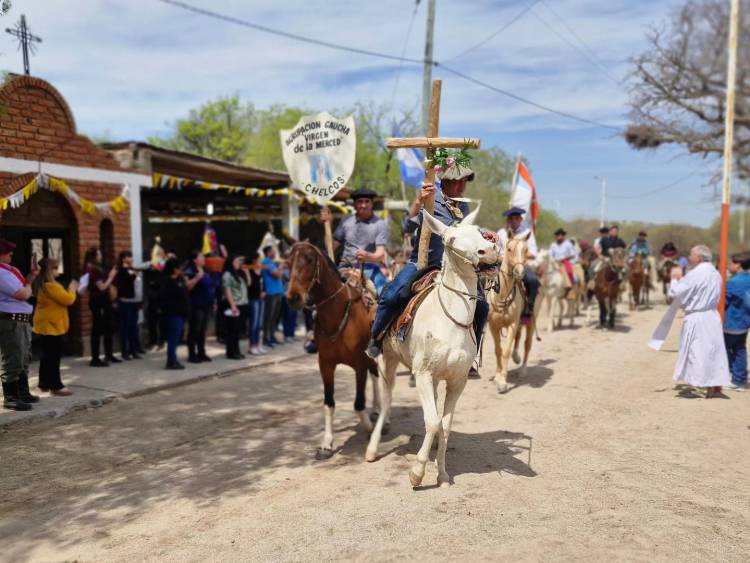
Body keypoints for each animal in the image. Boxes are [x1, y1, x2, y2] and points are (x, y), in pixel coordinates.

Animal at [288, 241, 382, 458]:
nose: (293, 298)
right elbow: (328, 404)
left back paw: (378, 411)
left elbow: (358, 404)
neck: (336, 314)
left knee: (375, 376)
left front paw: (369, 427)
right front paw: (326, 444)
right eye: (288, 261)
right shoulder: (326, 365)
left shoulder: (359, 365)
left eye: (309, 259)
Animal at [366, 208, 500, 490]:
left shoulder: (458, 380)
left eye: (480, 233)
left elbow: (445, 424)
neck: (450, 320)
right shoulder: (423, 375)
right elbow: (432, 421)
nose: (490, 251)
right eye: (451, 239)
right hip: (388, 362)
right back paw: (372, 449)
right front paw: (417, 472)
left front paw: (443, 474)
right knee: (386, 402)